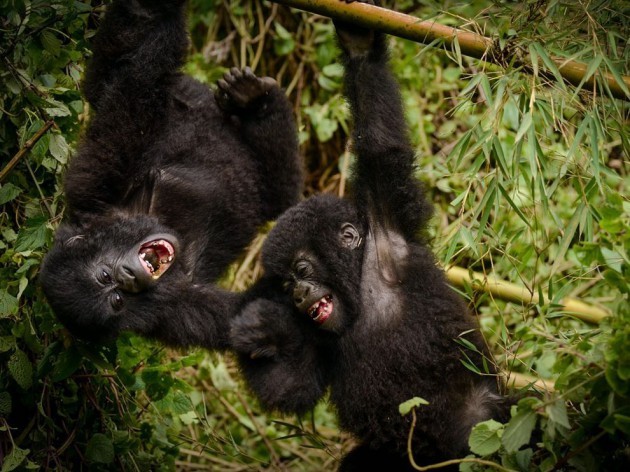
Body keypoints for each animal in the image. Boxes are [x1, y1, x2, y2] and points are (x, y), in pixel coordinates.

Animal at [40, 0, 302, 346]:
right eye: (117, 299)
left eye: (106, 275)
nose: (128, 277)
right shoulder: (172, 315)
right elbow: (247, 317)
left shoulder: (93, 186)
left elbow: (137, 93)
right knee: (282, 195)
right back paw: (260, 103)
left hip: (188, 94)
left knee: (107, 76)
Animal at [230, 4, 512, 472]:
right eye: (286, 285)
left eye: (302, 269)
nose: (300, 294)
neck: (360, 286)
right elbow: (292, 383)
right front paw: (259, 331)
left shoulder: (388, 225)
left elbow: (380, 141)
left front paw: (358, 41)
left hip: (490, 432)